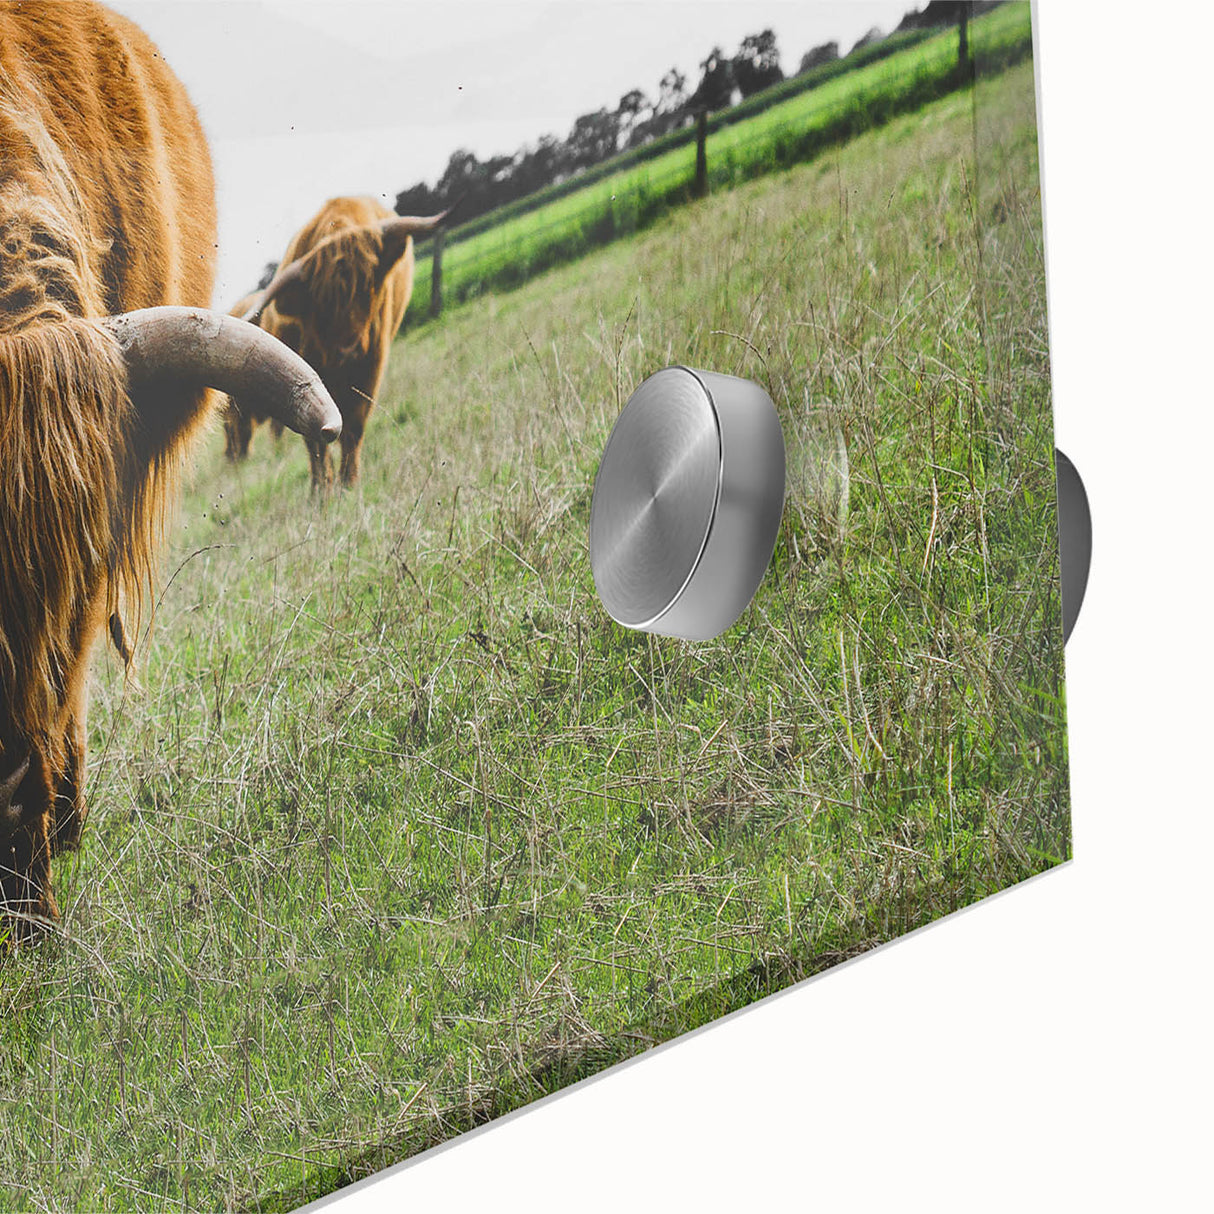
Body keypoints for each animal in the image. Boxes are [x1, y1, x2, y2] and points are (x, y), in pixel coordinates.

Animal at [245, 196, 454, 491]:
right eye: (321, 303)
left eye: (368, 288)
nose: (349, 351)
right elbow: (315, 441)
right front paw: (322, 489)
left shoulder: (370, 369)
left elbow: (354, 425)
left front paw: (349, 484)